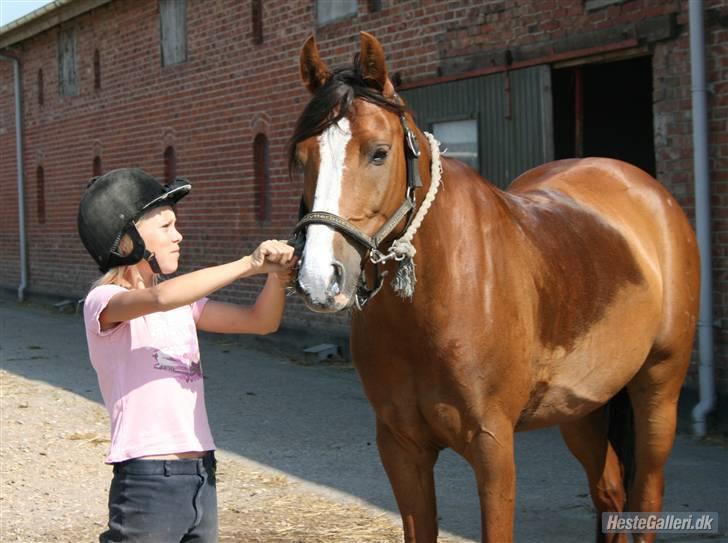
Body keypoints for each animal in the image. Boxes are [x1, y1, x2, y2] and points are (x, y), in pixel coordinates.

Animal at [288, 31, 700, 540]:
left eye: (379, 151)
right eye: (301, 156)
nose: (318, 278)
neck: (440, 299)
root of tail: (649, 193)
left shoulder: (493, 449)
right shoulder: (402, 449)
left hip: (659, 391)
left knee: (647, 494)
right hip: (583, 408)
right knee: (611, 494)